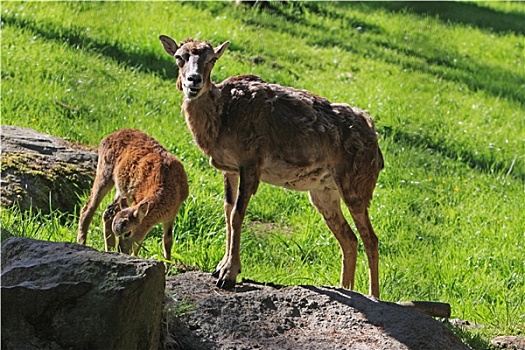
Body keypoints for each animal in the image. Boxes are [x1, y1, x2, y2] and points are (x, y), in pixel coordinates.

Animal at [78, 129, 188, 262]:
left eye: (127, 233)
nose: (121, 251)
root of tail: (109, 136)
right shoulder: (136, 200)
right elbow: (139, 243)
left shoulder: (172, 215)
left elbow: (167, 241)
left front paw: (168, 263)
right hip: (104, 171)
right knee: (88, 209)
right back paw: (82, 243)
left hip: (119, 190)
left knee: (108, 212)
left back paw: (108, 249)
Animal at [158, 34, 382, 298]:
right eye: (179, 57)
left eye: (212, 59)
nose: (194, 80)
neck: (222, 118)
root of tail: (377, 149)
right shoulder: (229, 169)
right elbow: (227, 211)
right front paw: (220, 267)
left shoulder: (250, 162)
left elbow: (237, 214)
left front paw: (228, 275)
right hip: (323, 192)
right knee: (349, 239)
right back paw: (345, 288)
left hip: (356, 184)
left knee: (371, 238)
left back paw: (374, 295)